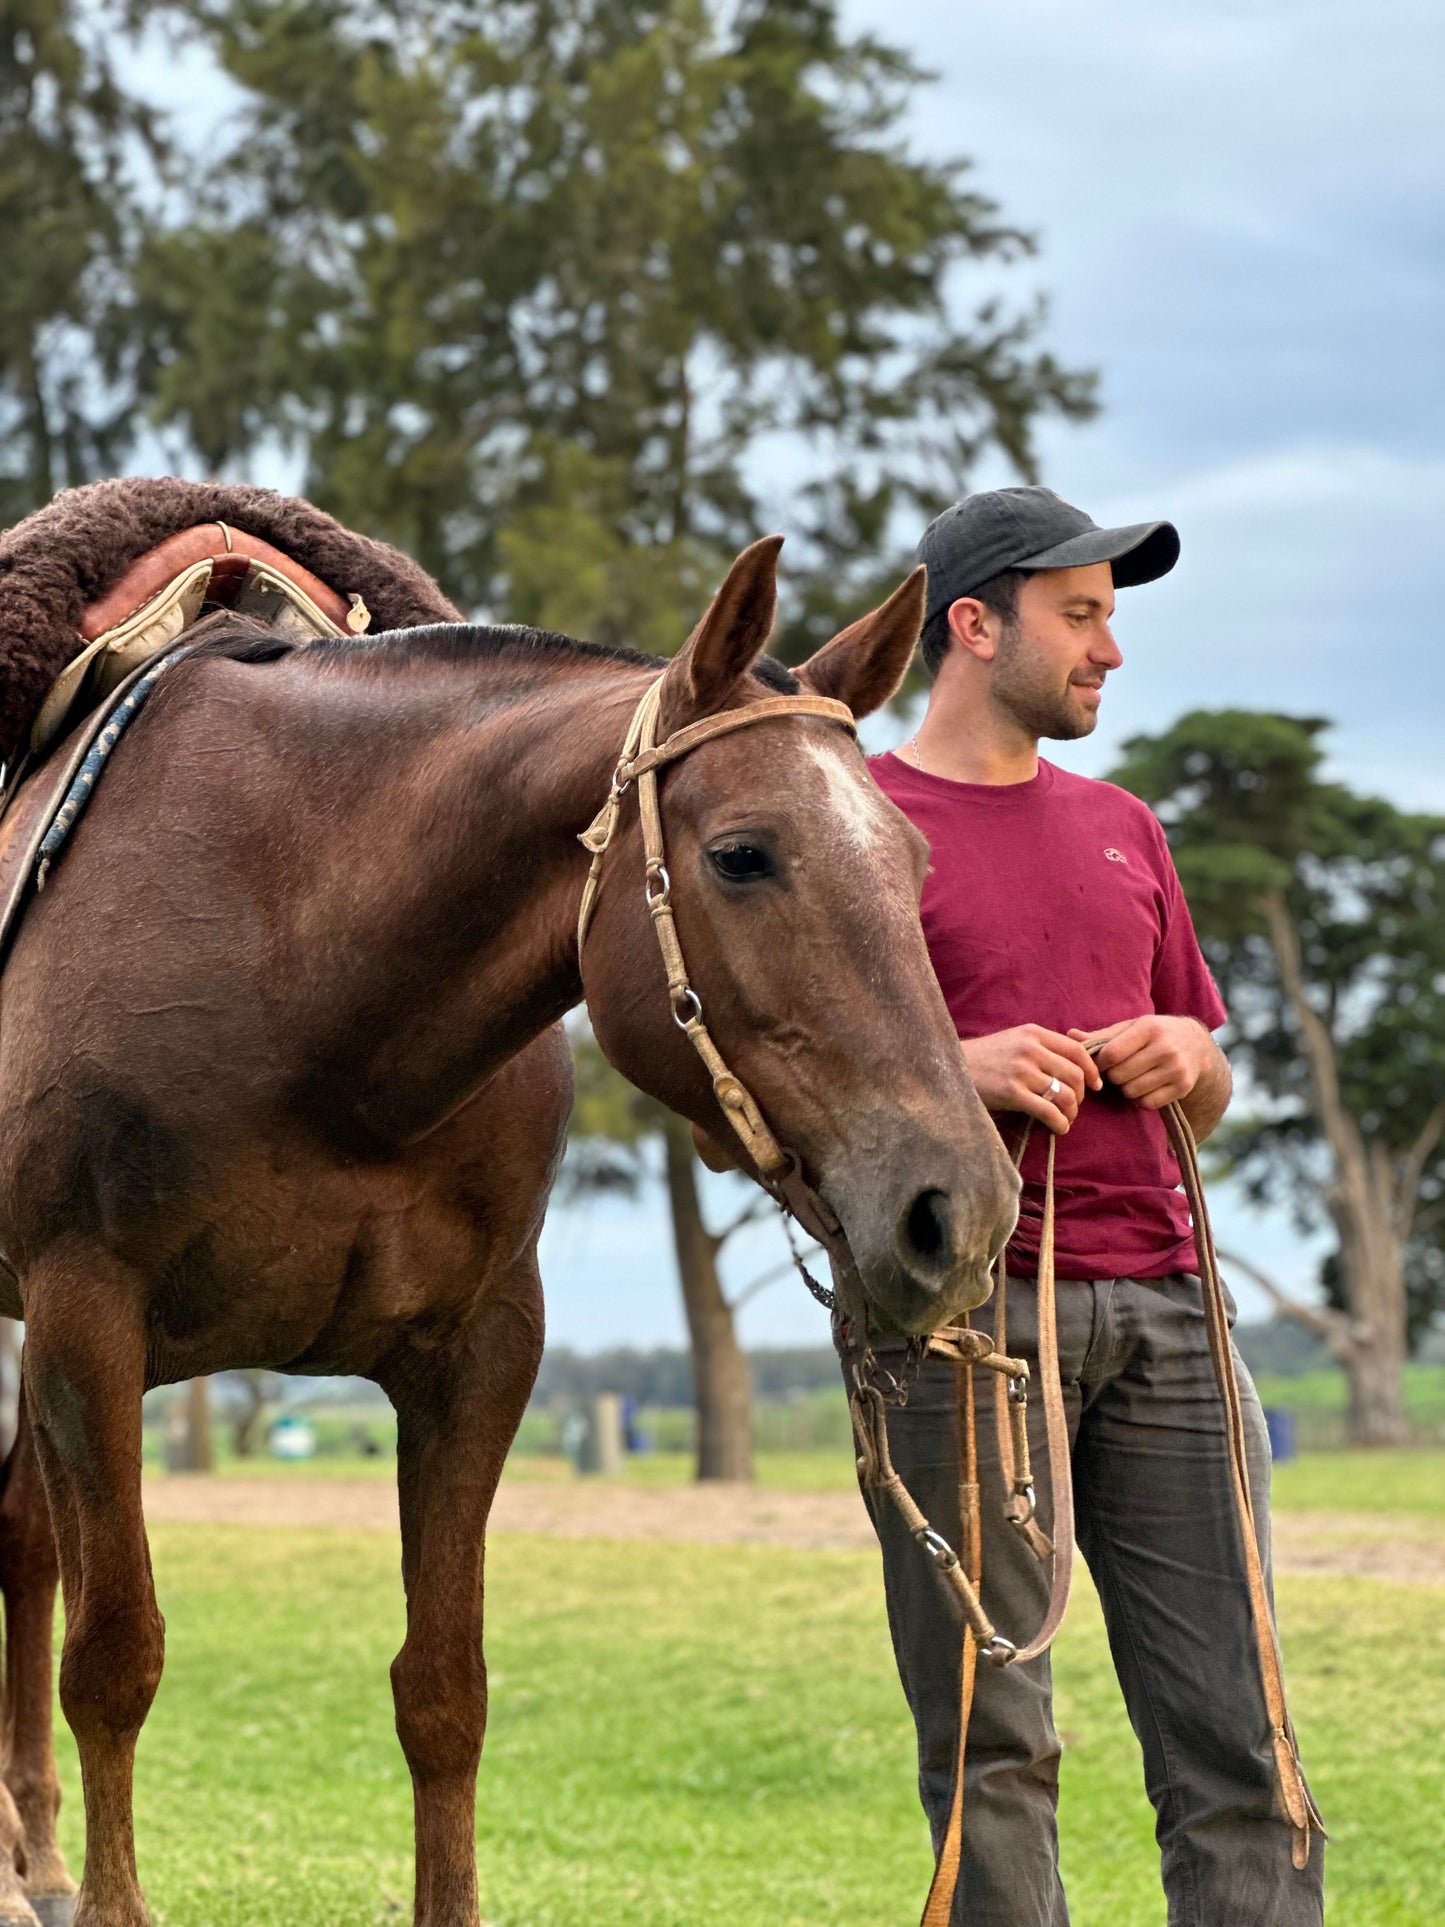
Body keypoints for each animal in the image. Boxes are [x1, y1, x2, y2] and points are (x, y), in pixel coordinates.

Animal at [0, 543, 1017, 1927]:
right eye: (742, 855)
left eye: (911, 862)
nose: (956, 1207)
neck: (301, 967)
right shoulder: (88, 1322)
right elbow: (113, 1656)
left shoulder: (477, 1352)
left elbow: (444, 1687)